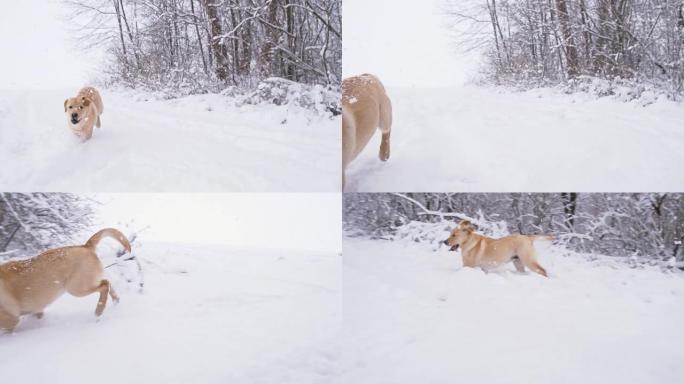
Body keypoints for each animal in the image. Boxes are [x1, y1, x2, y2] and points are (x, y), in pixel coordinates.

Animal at [0, 228, 130, 330]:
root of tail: (85, 246)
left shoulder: (10, 321)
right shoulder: (36, 311)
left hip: (76, 288)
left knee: (104, 285)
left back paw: (98, 312)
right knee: (108, 283)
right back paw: (115, 301)